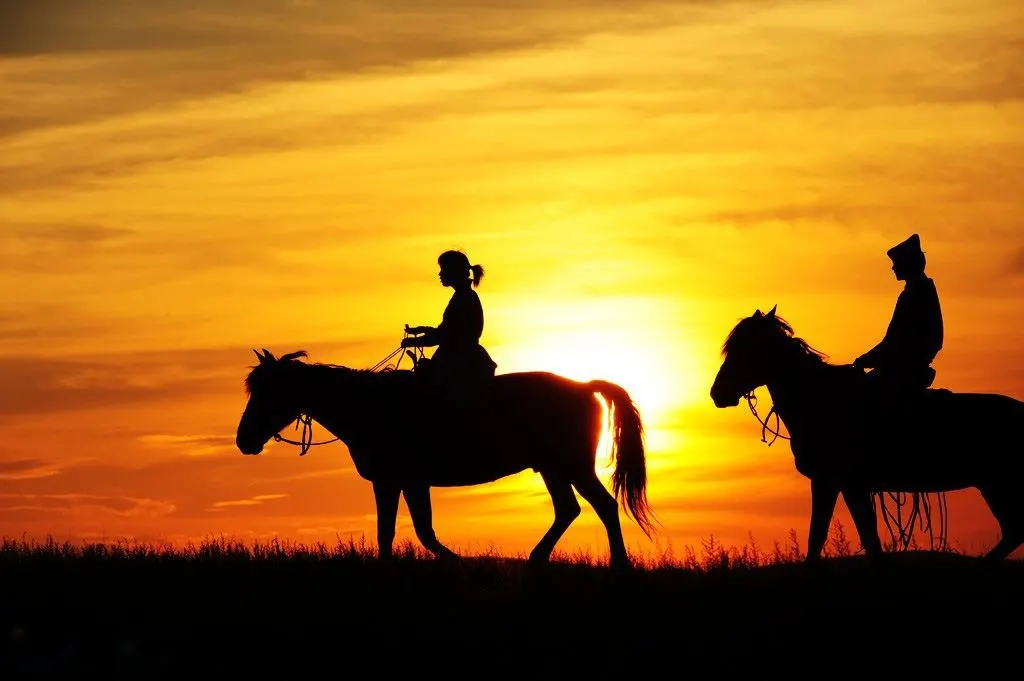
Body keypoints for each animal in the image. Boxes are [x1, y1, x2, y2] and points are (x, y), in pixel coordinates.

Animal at [234, 348, 655, 565]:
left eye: (268, 391)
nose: (244, 441)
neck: (370, 406)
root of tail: (584, 386)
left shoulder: (400, 480)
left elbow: (411, 531)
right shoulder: (401, 482)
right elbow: (402, 531)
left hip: (572, 465)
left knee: (603, 506)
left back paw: (618, 566)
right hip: (553, 468)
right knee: (569, 509)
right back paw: (536, 560)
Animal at [712, 307, 1024, 561]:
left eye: (745, 348)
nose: (717, 393)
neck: (820, 400)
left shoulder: (838, 481)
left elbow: (844, 538)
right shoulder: (840, 483)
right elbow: (836, 537)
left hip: (999, 484)